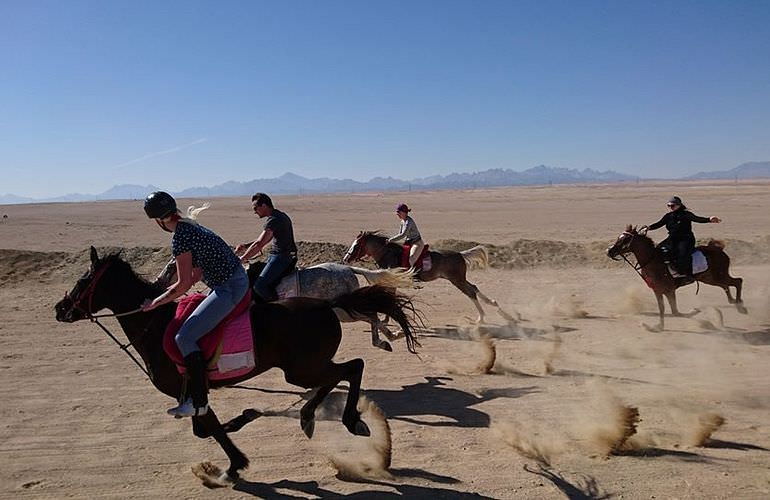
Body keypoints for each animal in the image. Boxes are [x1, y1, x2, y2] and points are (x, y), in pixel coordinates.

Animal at [54, 248, 420, 486]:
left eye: (84, 280)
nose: (59, 309)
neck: (155, 326)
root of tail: (328, 305)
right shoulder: (194, 394)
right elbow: (207, 428)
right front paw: (244, 421)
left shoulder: (192, 391)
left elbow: (211, 429)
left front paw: (231, 467)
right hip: (306, 367)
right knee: (341, 373)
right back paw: (310, 416)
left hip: (301, 369)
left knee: (352, 367)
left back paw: (349, 419)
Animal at [340, 231, 510, 324]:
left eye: (356, 245)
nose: (345, 258)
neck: (387, 253)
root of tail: (460, 254)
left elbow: (390, 296)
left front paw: (386, 319)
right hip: (460, 279)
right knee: (474, 288)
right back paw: (497, 308)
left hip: (456, 280)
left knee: (470, 292)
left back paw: (482, 318)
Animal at [608, 225, 744, 330]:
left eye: (625, 239)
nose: (609, 251)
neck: (653, 261)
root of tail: (719, 250)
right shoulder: (658, 291)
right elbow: (663, 309)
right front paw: (658, 327)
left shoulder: (669, 290)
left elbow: (675, 312)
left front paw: (696, 311)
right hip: (710, 278)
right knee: (726, 285)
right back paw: (733, 302)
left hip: (718, 276)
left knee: (737, 281)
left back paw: (740, 306)